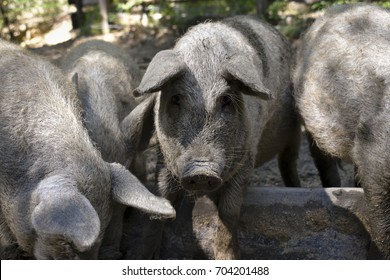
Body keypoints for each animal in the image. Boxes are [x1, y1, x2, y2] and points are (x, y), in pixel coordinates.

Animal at [123, 15, 300, 260]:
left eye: (226, 100)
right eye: (176, 99)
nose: (201, 171)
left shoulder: (248, 155)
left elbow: (228, 211)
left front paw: (228, 257)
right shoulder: (164, 157)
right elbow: (161, 204)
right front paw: (143, 254)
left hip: (294, 133)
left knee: (289, 163)